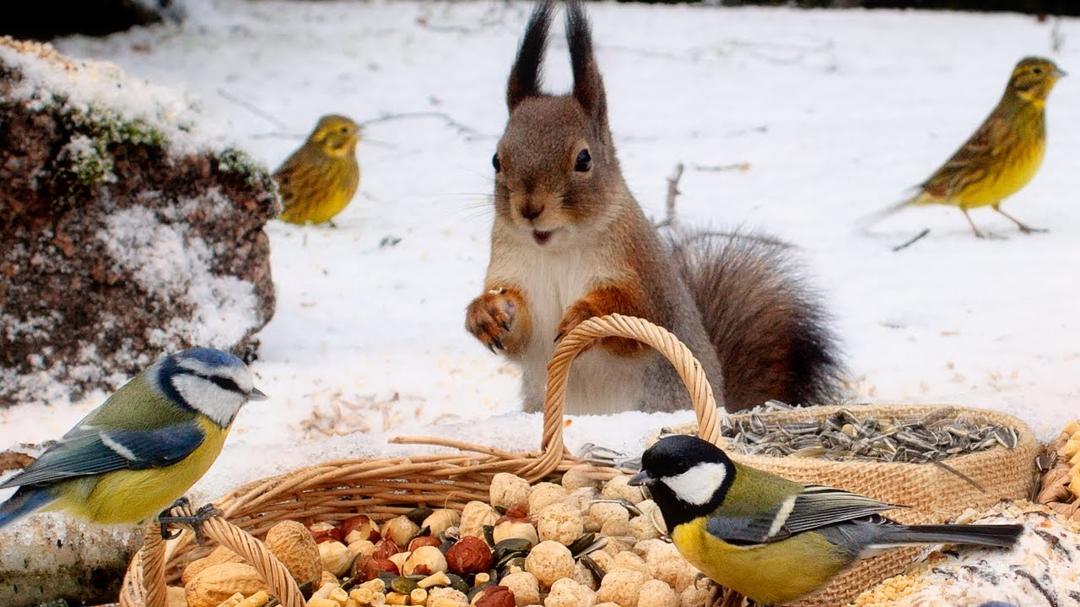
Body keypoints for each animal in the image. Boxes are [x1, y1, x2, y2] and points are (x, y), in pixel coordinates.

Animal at [465, 0, 842, 415]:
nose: (530, 208)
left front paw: (588, 314)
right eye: (496, 159)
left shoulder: (643, 276)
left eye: (584, 159)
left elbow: (635, 321)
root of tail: (725, 402)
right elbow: (521, 335)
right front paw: (486, 313)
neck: (557, 248)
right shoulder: (515, 271)